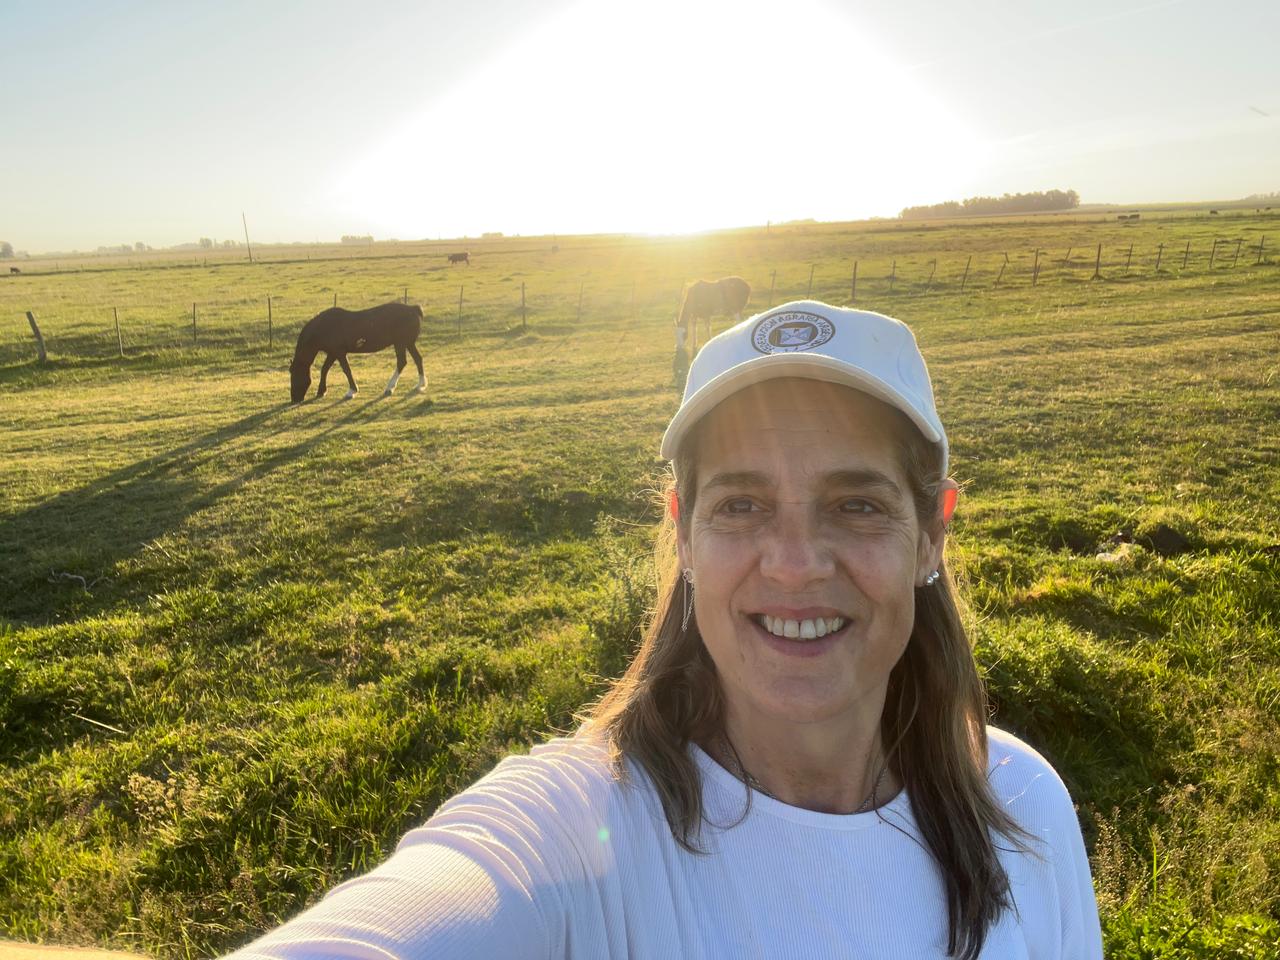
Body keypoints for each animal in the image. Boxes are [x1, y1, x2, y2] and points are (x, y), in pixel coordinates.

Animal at [290, 302, 424, 404]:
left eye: (294, 375)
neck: (324, 327)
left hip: (401, 343)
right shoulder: (332, 353)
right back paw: (420, 385)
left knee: (402, 362)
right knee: (418, 359)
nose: (294, 399)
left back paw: (390, 388)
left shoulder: (339, 353)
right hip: (408, 344)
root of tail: (412, 308)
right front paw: (321, 391)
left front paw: (352, 391)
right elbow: (325, 369)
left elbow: (346, 370)